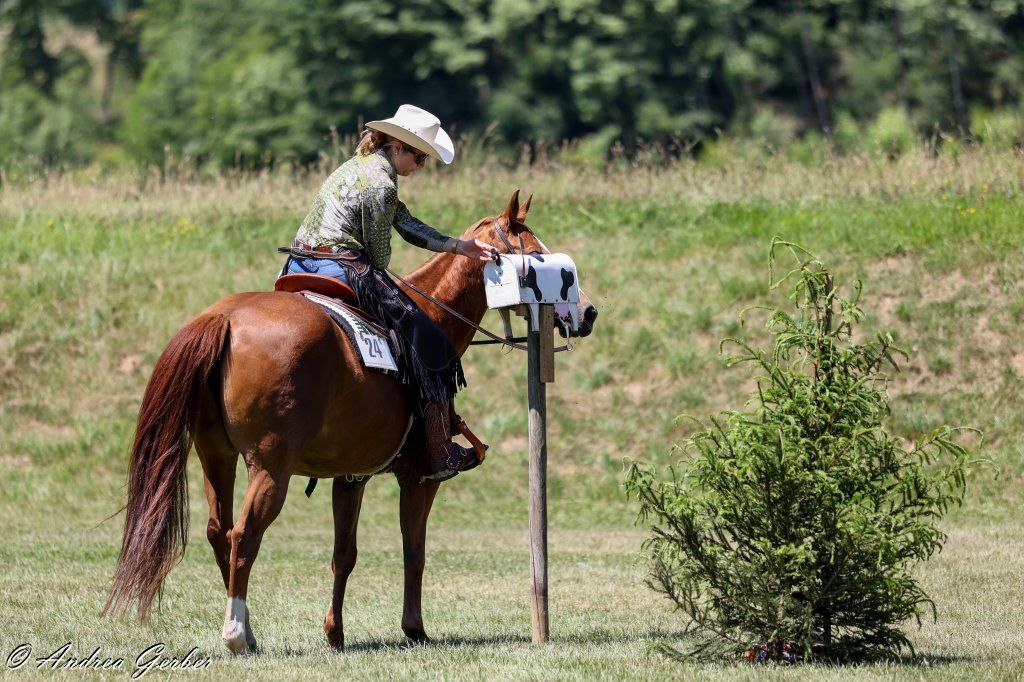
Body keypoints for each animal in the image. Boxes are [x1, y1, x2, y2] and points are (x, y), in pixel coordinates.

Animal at [104, 190, 598, 653]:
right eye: (535, 254)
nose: (587, 312)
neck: (435, 312)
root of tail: (222, 318)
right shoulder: (420, 477)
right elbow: (414, 551)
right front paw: (414, 628)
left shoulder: (350, 476)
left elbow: (344, 554)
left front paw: (335, 632)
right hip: (270, 468)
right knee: (245, 536)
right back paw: (236, 634)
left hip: (216, 458)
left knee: (218, 532)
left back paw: (249, 629)